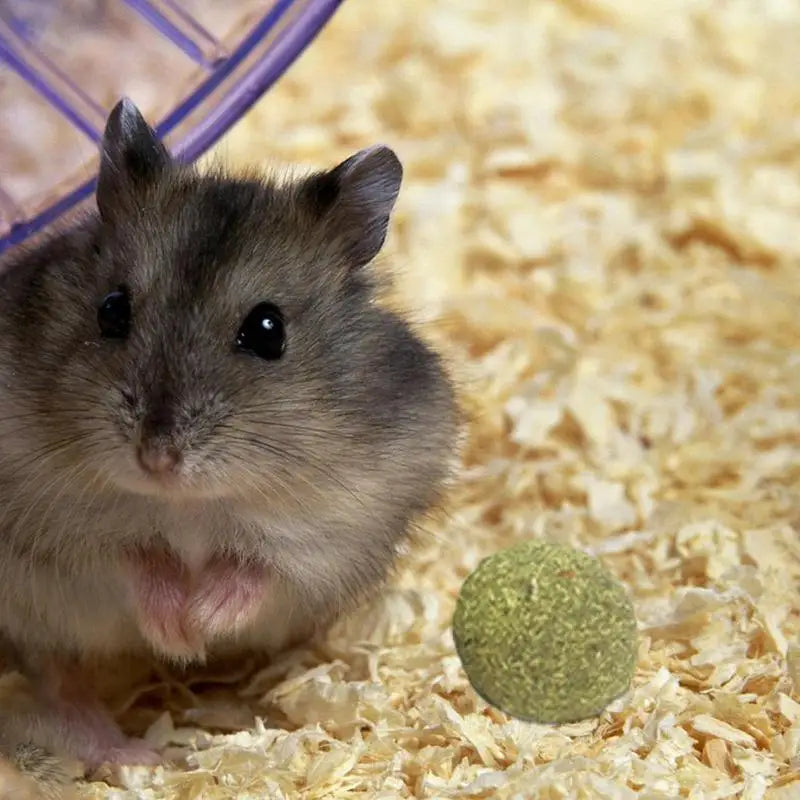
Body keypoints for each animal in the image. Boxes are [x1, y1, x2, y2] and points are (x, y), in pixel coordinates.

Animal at [0, 98, 457, 776]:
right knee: (61, 683)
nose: (157, 457)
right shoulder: (52, 530)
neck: (185, 506)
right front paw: (178, 634)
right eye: (111, 309)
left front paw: (201, 626)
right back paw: (134, 755)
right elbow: (130, 555)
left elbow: (258, 565)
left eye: (268, 330)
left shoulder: (341, 529)